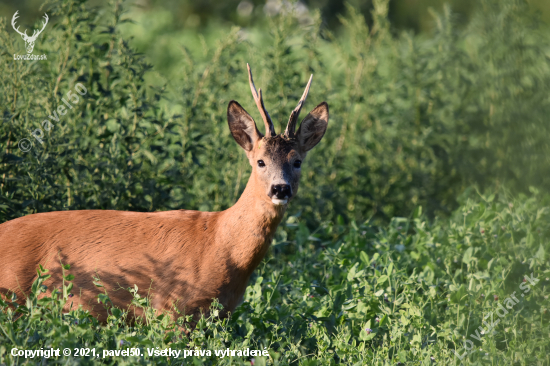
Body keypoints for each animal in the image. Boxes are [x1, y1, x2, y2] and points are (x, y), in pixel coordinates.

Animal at [0, 64, 330, 324]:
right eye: (260, 161)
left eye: (297, 161)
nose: (280, 188)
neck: (220, 244)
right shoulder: (171, 307)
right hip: (11, 292)